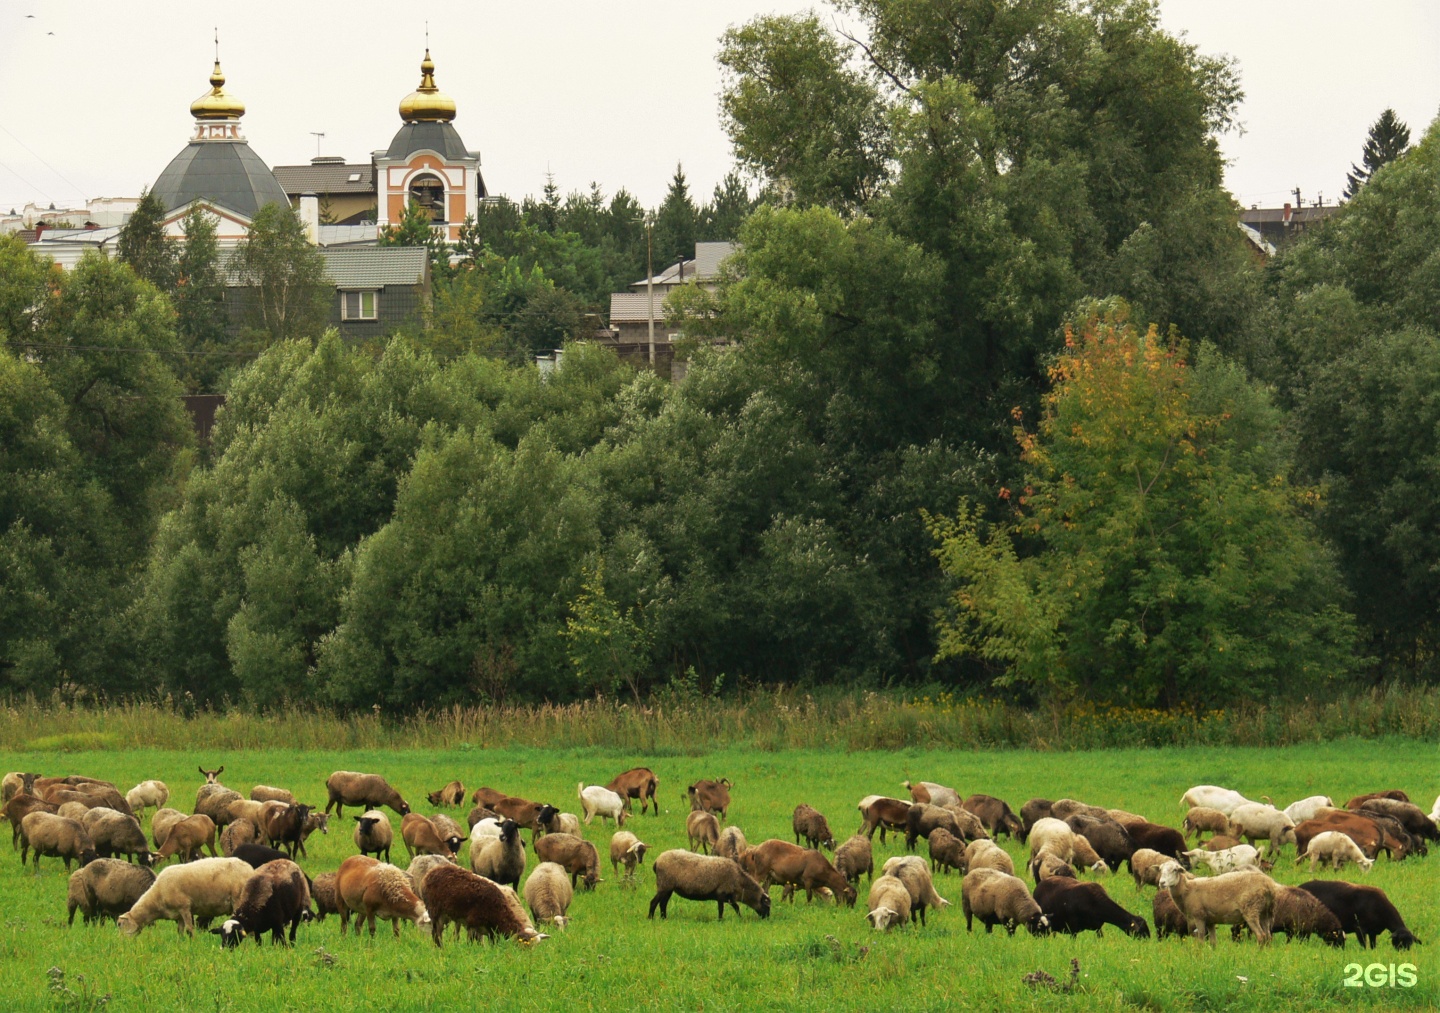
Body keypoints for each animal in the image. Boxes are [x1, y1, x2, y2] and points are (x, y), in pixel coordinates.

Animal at [118, 858, 256, 939]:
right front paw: (181, 942)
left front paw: (192, 942)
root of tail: (249, 868)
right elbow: (180, 931)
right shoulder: (178, 914)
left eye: (120, 924)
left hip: (238, 899)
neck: (157, 898)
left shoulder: (184, 907)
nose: (122, 942)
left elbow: (190, 929)